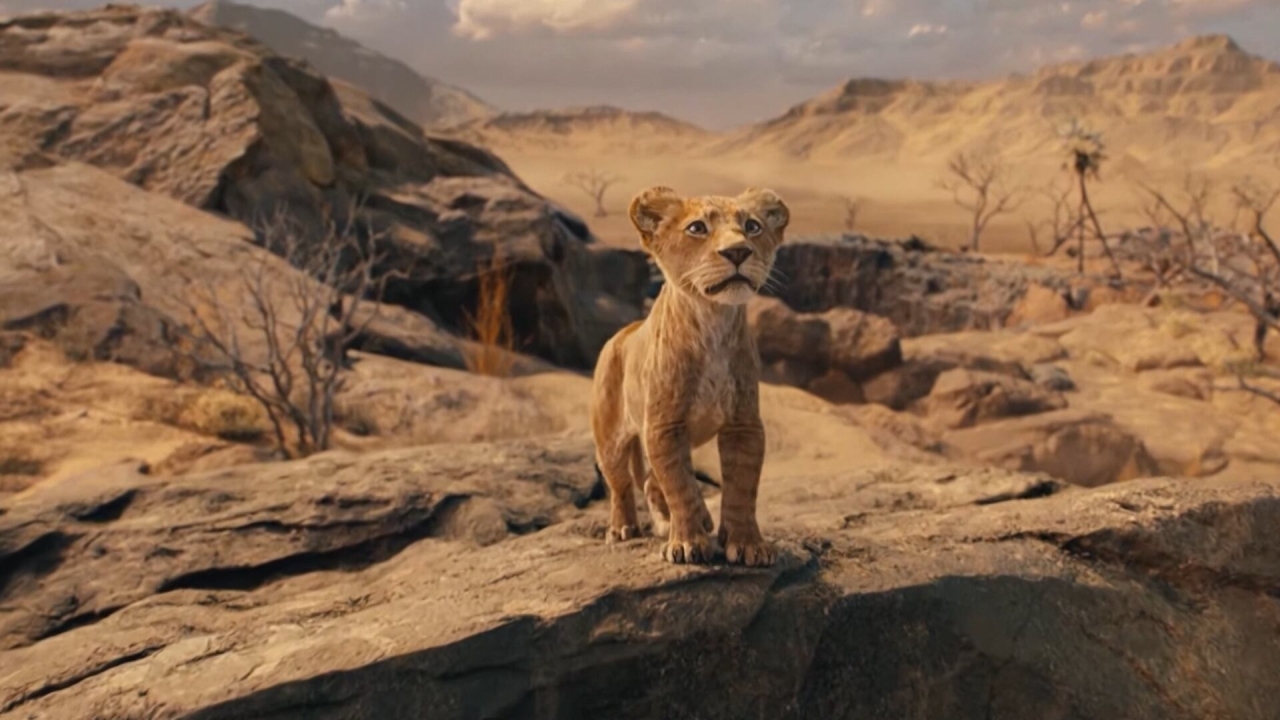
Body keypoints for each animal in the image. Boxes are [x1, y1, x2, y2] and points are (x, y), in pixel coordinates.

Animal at [589, 185, 790, 567]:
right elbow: (680, 484)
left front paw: (747, 544)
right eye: (697, 228)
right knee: (622, 483)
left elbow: (742, 487)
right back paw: (623, 528)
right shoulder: (664, 426)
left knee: (651, 482)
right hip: (610, 438)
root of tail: (623, 332)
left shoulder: (744, 424)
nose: (738, 251)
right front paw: (687, 542)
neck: (713, 323)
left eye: (752, 226)